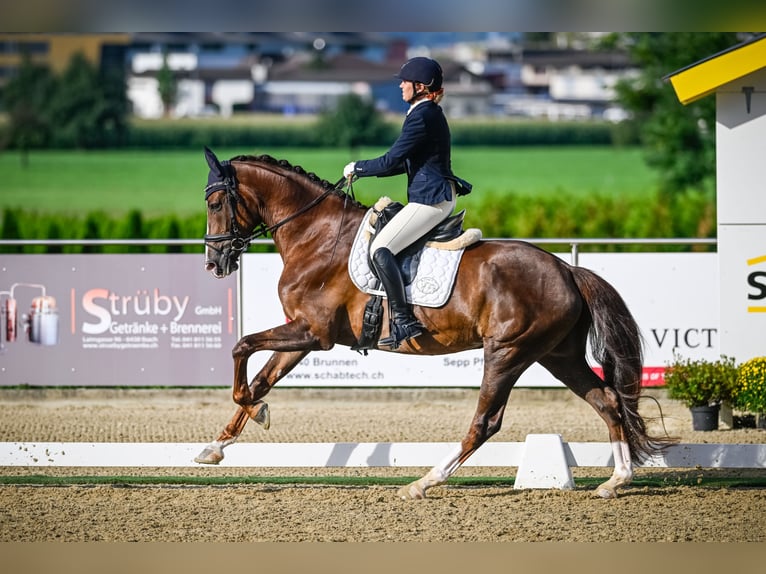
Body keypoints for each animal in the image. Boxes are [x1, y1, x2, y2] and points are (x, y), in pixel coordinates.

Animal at [196, 147, 672, 500]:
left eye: (215, 203)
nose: (214, 264)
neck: (315, 235)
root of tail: (567, 269)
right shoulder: (304, 334)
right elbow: (261, 378)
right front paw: (216, 446)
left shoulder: (312, 332)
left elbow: (241, 347)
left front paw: (255, 412)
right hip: (558, 355)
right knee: (606, 399)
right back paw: (616, 481)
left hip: (508, 352)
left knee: (486, 422)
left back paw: (424, 482)